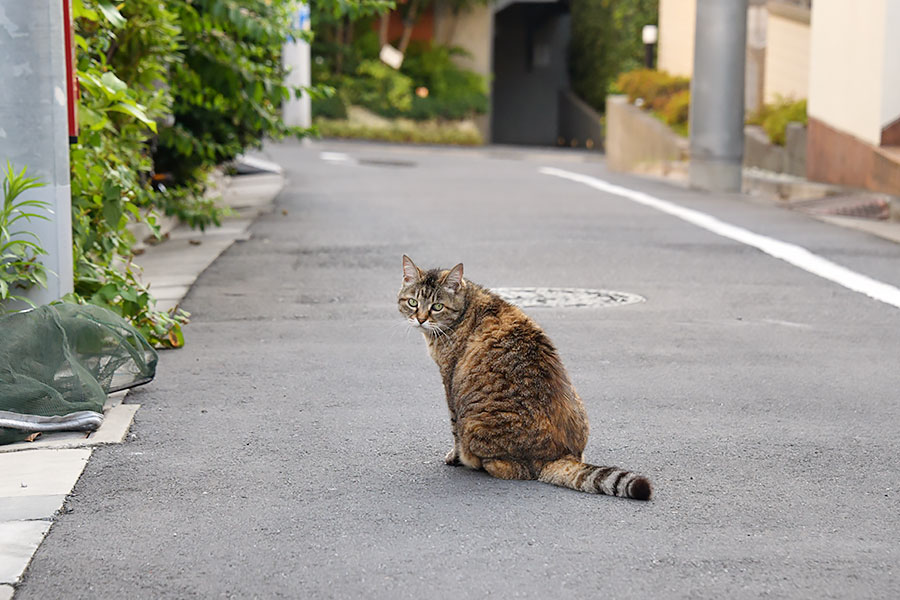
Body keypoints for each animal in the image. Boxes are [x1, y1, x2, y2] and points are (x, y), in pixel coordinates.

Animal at [398, 255, 652, 500]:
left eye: (437, 306)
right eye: (413, 302)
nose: (420, 318)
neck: (467, 304)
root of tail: (560, 455)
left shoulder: (449, 379)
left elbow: (453, 429)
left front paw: (455, 457)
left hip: (472, 423)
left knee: (513, 468)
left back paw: (479, 462)